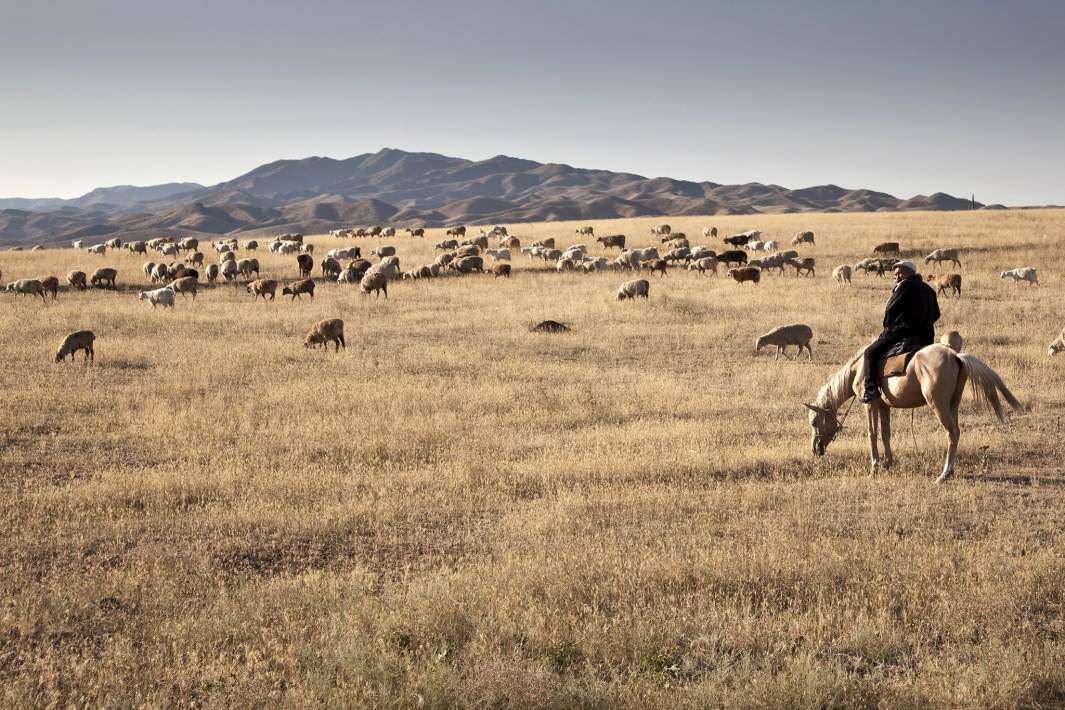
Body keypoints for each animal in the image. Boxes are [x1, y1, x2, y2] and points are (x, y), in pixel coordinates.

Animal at [805, 344, 1022, 483]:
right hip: (953, 405)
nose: (815, 449)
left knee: (952, 433)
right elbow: (885, 433)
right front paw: (888, 463)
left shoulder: (870, 404)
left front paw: (874, 467)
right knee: (956, 431)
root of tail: (955, 356)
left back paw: (945, 474)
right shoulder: (884, 406)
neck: (857, 370)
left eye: (814, 422)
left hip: (938, 405)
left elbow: (872, 433)